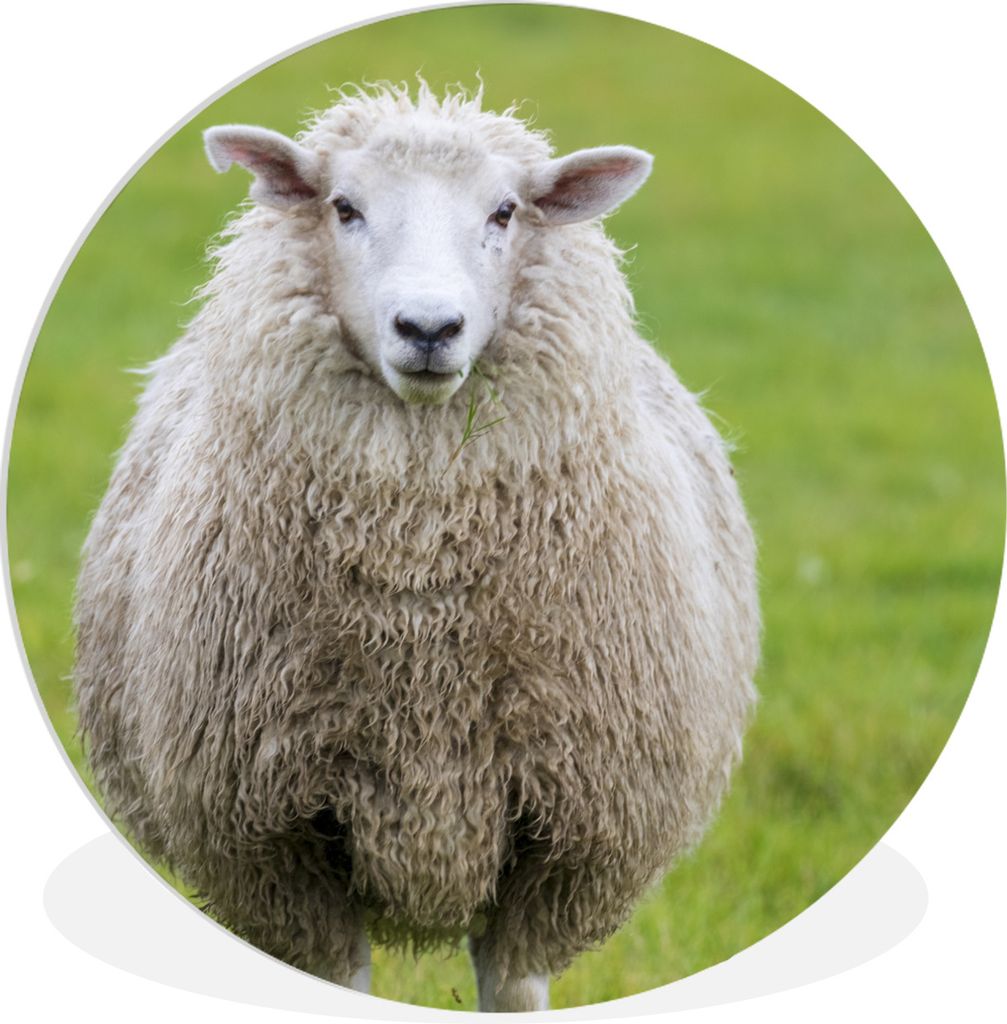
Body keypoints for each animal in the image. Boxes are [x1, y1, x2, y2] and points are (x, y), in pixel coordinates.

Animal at [73, 82, 759, 1012]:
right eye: (343, 207)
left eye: (505, 211)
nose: (428, 327)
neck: (419, 591)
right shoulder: (276, 840)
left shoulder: (567, 835)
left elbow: (512, 988)